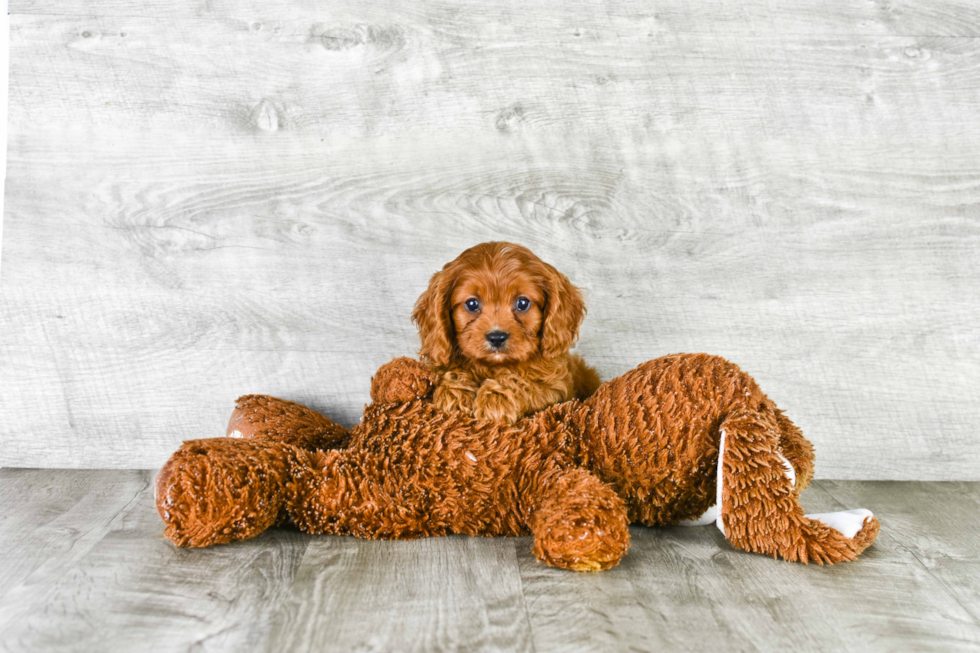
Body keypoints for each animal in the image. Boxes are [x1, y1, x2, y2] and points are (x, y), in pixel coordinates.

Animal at [412, 241, 600, 422]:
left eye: (522, 303)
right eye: (472, 304)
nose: (496, 337)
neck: (492, 366)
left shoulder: (557, 388)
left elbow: (521, 381)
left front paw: (495, 399)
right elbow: (448, 372)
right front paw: (455, 391)